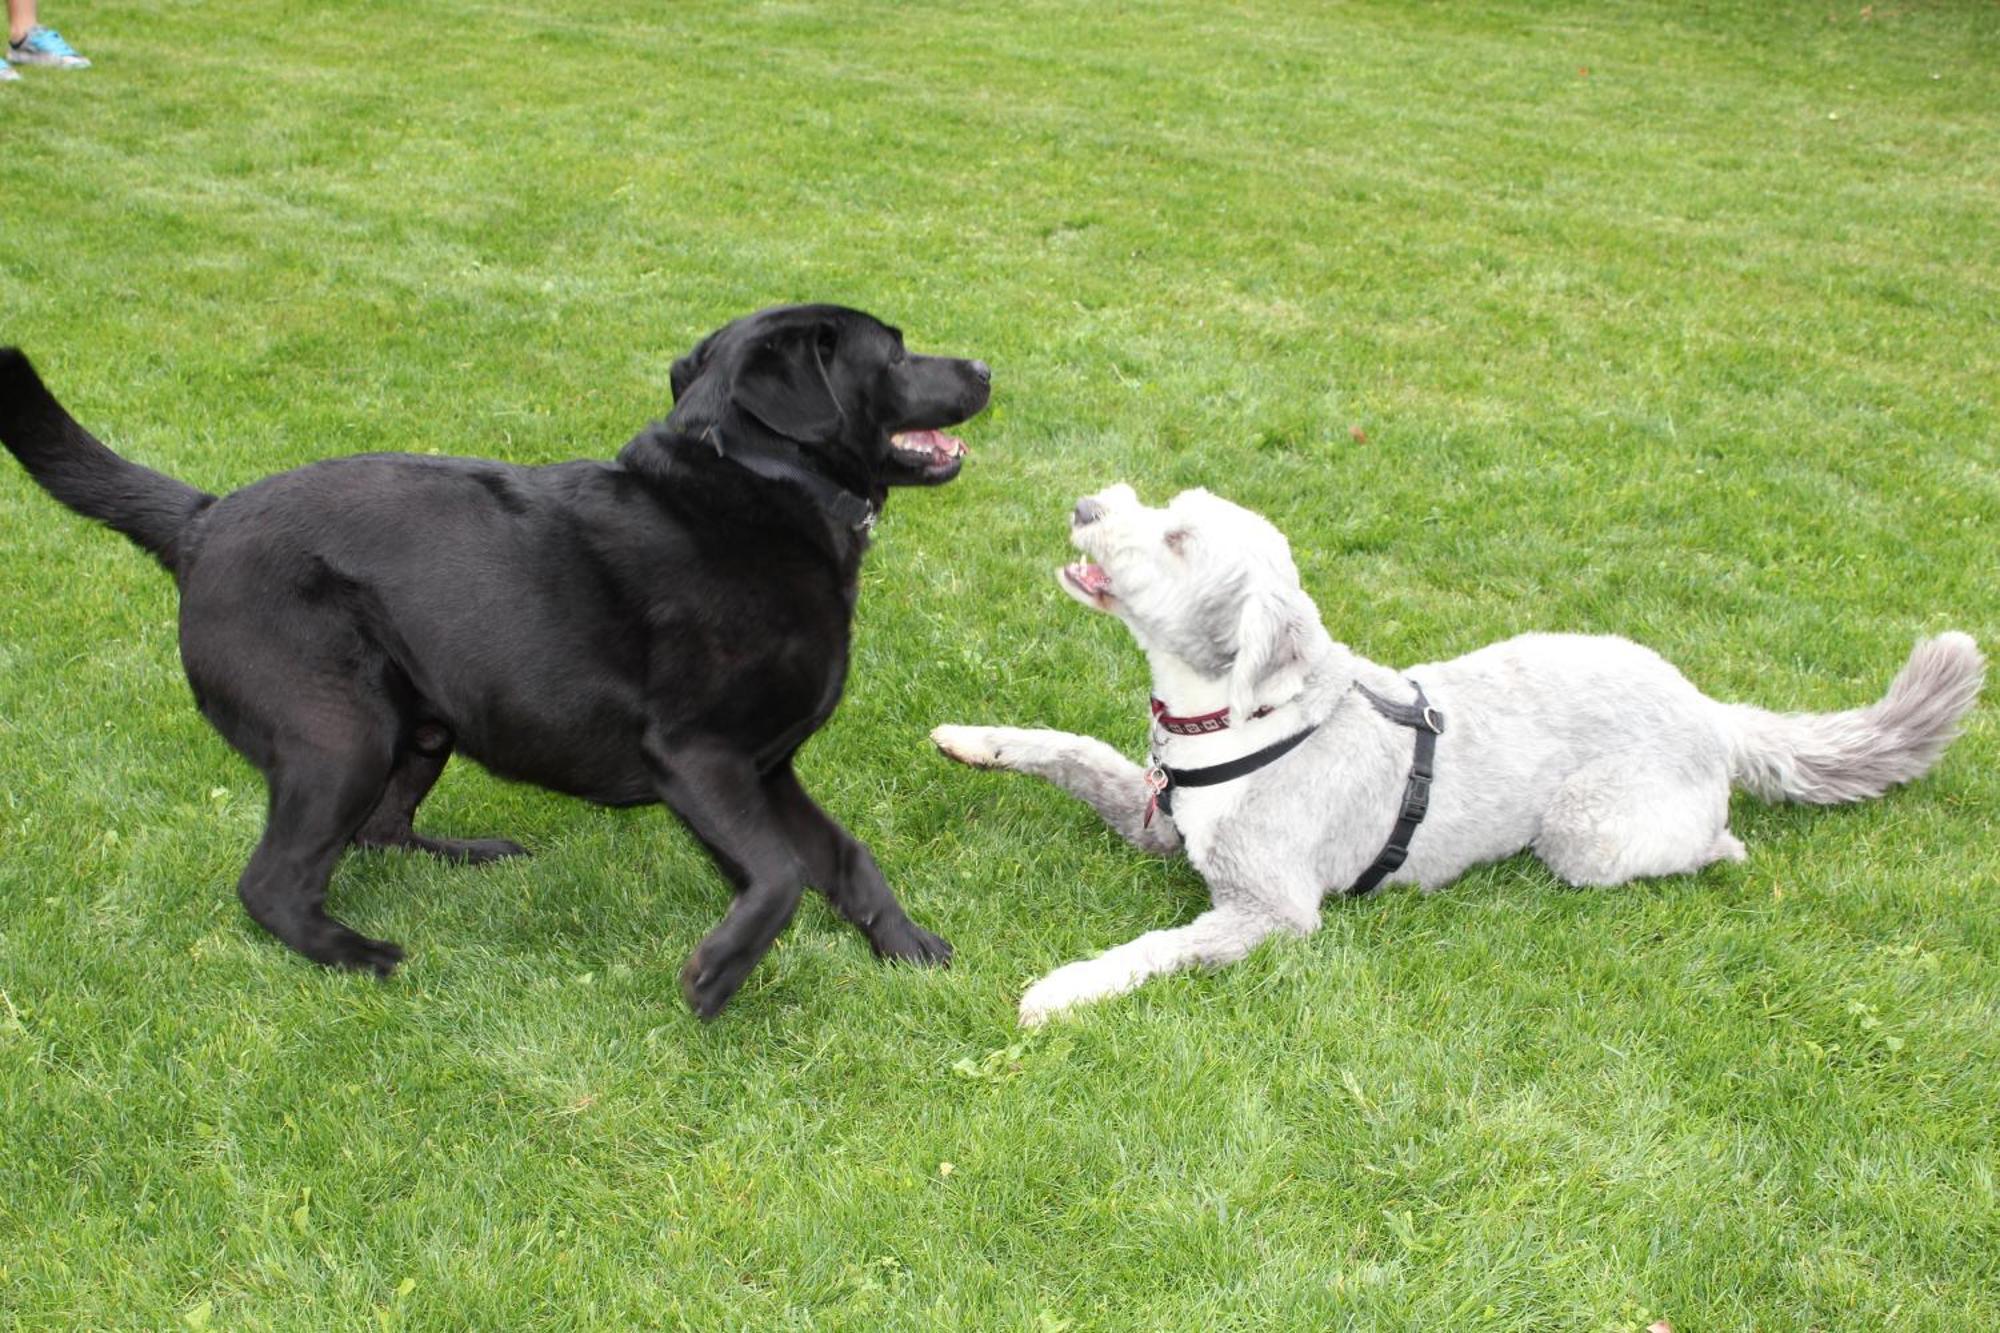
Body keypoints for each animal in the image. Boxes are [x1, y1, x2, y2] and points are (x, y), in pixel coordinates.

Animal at [3, 304, 988, 1008]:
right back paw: (358, 954)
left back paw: (472, 854)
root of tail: (203, 523)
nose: (985, 366)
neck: (759, 482)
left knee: (382, 832)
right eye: (895, 354)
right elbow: (780, 875)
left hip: (420, 726)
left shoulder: (766, 766)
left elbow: (847, 857)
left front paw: (907, 946)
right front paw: (716, 974)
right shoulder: (698, 758)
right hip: (339, 734)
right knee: (273, 882)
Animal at [936, 482, 1984, 1020]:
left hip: (1586, 833)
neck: (1241, 718)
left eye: (1180, 536)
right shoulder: (1158, 817)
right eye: (1168, 503)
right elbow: (1072, 751)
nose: (1086, 502)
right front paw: (970, 737)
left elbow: (1157, 947)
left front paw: (1064, 985)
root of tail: (1710, 709)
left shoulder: (1270, 911)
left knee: (1707, 844)